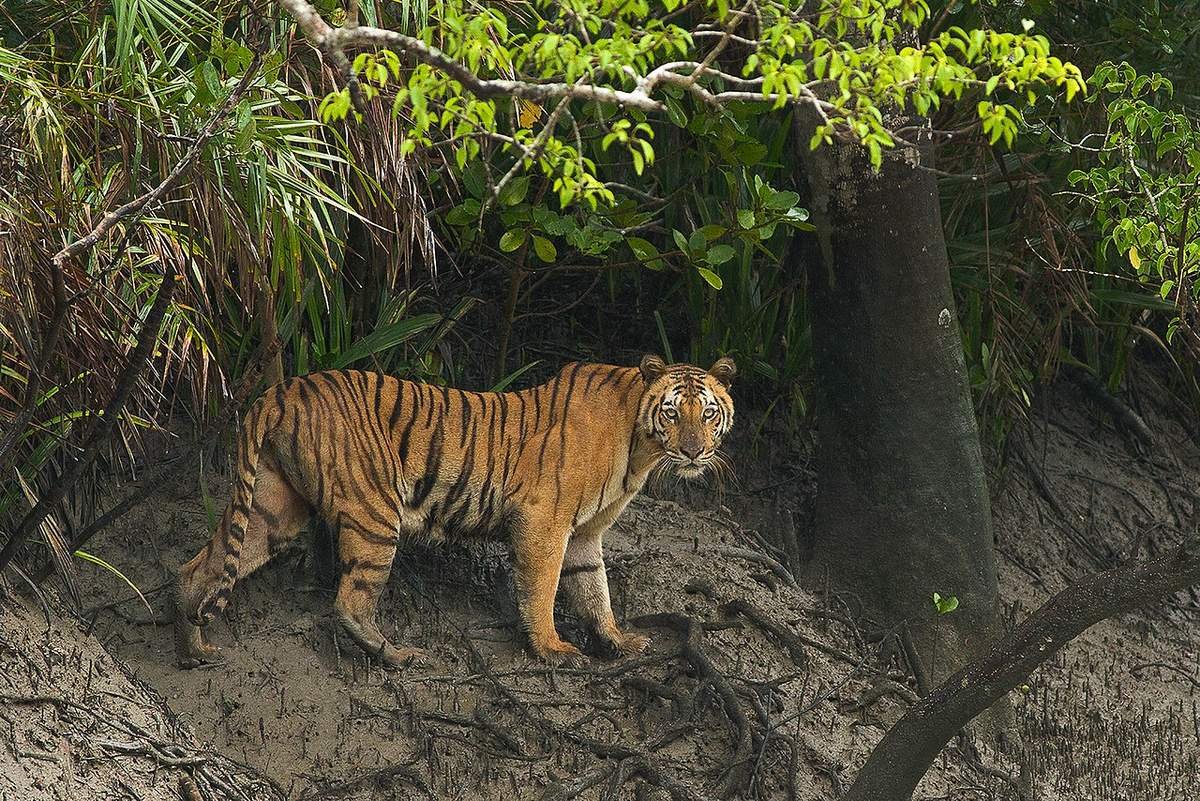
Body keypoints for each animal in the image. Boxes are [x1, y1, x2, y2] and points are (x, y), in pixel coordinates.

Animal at [174, 357, 734, 671]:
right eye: (672, 412)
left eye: (708, 413)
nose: (694, 451)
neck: (642, 447)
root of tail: (283, 389)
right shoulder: (545, 521)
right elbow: (544, 587)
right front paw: (551, 648)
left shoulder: (583, 535)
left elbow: (595, 588)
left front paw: (619, 640)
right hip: (376, 513)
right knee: (349, 602)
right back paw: (395, 655)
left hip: (273, 506)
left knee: (197, 568)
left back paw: (192, 649)